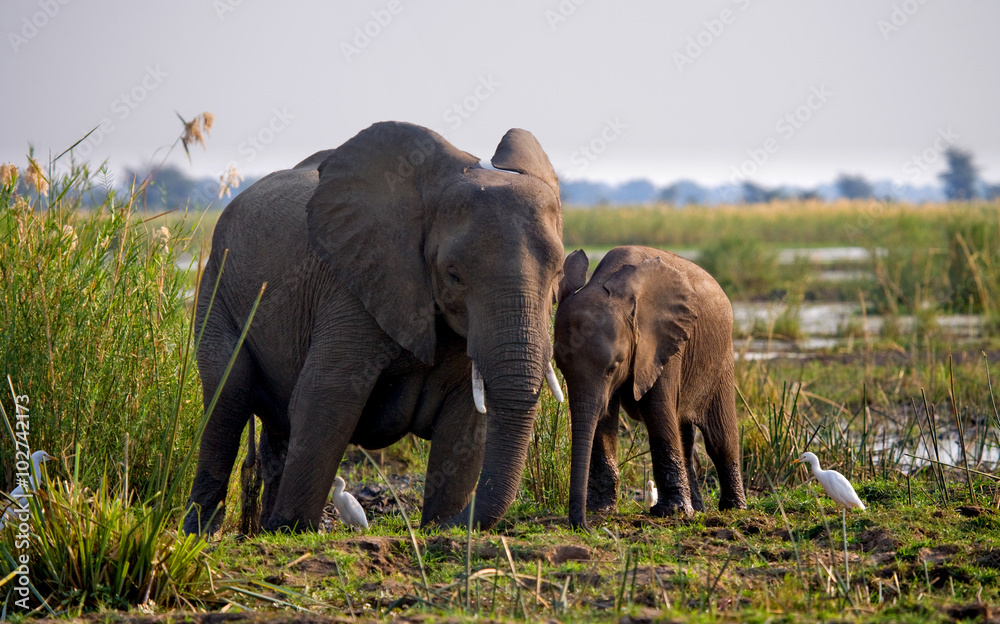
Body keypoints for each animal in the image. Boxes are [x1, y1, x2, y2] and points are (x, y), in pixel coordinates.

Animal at [183, 121, 565, 534]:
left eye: (559, 273)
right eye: (453, 275)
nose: (445, 526)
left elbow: (465, 419)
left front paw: (439, 527)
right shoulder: (352, 284)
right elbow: (326, 393)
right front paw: (292, 528)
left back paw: (259, 528)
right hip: (216, 287)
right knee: (227, 397)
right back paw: (202, 532)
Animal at [553, 246, 746, 530]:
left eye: (613, 366)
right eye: (560, 366)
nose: (584, 525)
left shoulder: (662, 342)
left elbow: (657, 411)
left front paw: (673, 513)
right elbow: (604, 418)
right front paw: (601, 510)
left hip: (720, 358)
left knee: (719, 437)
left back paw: (733, 509)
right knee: (685, 436)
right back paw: (699, 509)